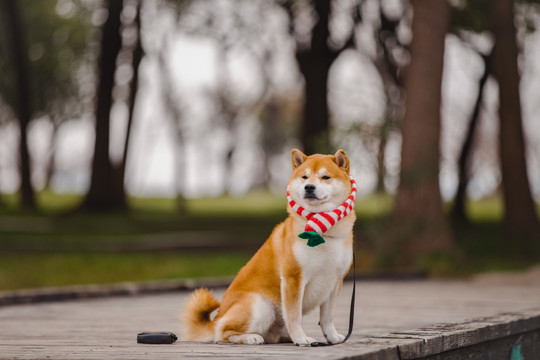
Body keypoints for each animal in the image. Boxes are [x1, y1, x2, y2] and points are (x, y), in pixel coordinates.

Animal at [181, 149, 356, 346]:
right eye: (304, 177)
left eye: (325, 177)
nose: (309, 187)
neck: (325, 233)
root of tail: (217, 317)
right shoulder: (293, 278)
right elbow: (294, 316)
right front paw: (301, 338)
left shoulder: (334, 281)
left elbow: (327, 317)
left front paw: (332, 337)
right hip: (261, 307)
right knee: (223, 333)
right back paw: (251, 337)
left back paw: (284, 336)